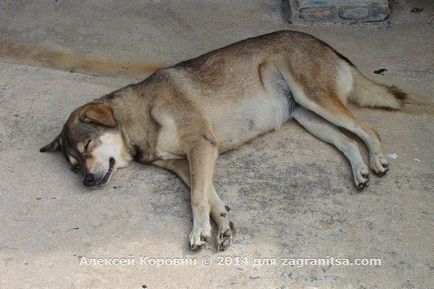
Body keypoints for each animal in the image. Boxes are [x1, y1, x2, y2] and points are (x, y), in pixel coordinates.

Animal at [39, 29, 406, 250]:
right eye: (73, 166)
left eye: (87, 148)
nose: (86, 182)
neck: (138, 116)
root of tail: (323, 42)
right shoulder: (186, 164)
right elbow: (210, 197)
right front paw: (223, 225)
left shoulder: (201, 148)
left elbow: (197, 199)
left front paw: (199, 230)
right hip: (308, 117)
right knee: (347, 142)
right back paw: (360, 172)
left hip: (315, 99)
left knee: (369, 131)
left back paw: (376, 160)